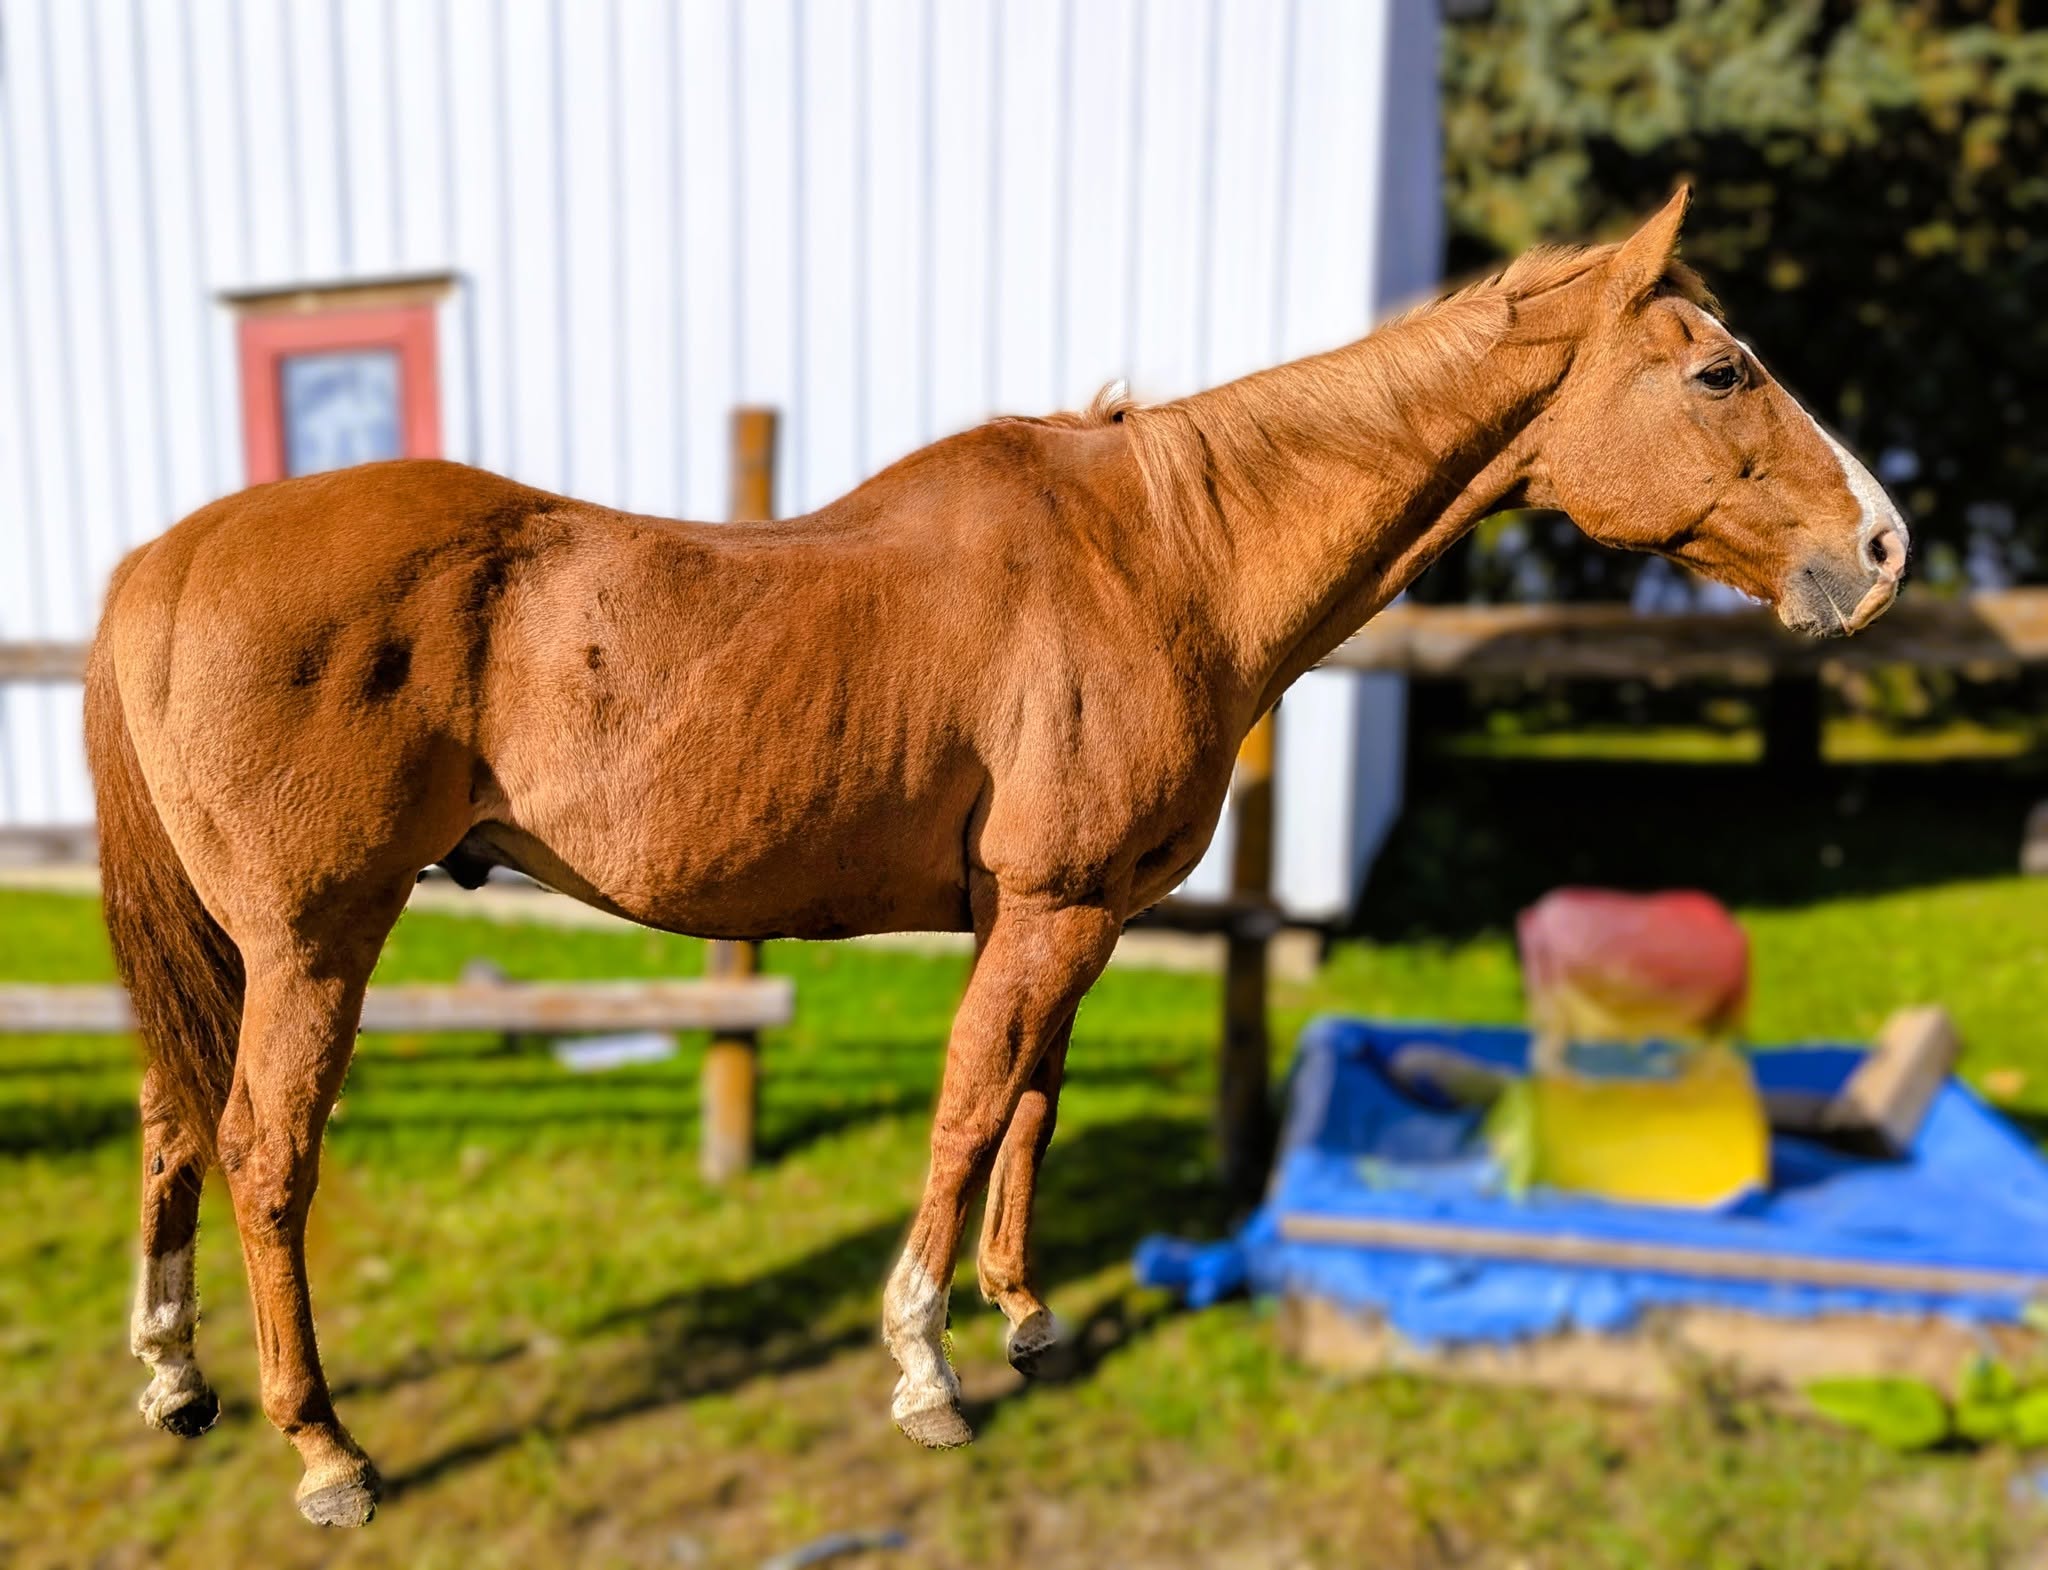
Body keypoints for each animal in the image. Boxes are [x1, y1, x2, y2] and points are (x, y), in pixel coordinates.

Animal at [87, 188, 1907, 1527]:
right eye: (1720, 375)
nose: (1882, 547)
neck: (1168, 552)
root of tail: (161, 560)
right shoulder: (1045, 907)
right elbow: (969, 1110)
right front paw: (925, 1367)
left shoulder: (1073, 918)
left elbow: (1031, 1099)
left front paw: (1024, 1315)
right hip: (316, 941)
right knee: (260, 1153)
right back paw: (326, 1450)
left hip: (225, 948)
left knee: (174, 1120)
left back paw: (177, 1383)